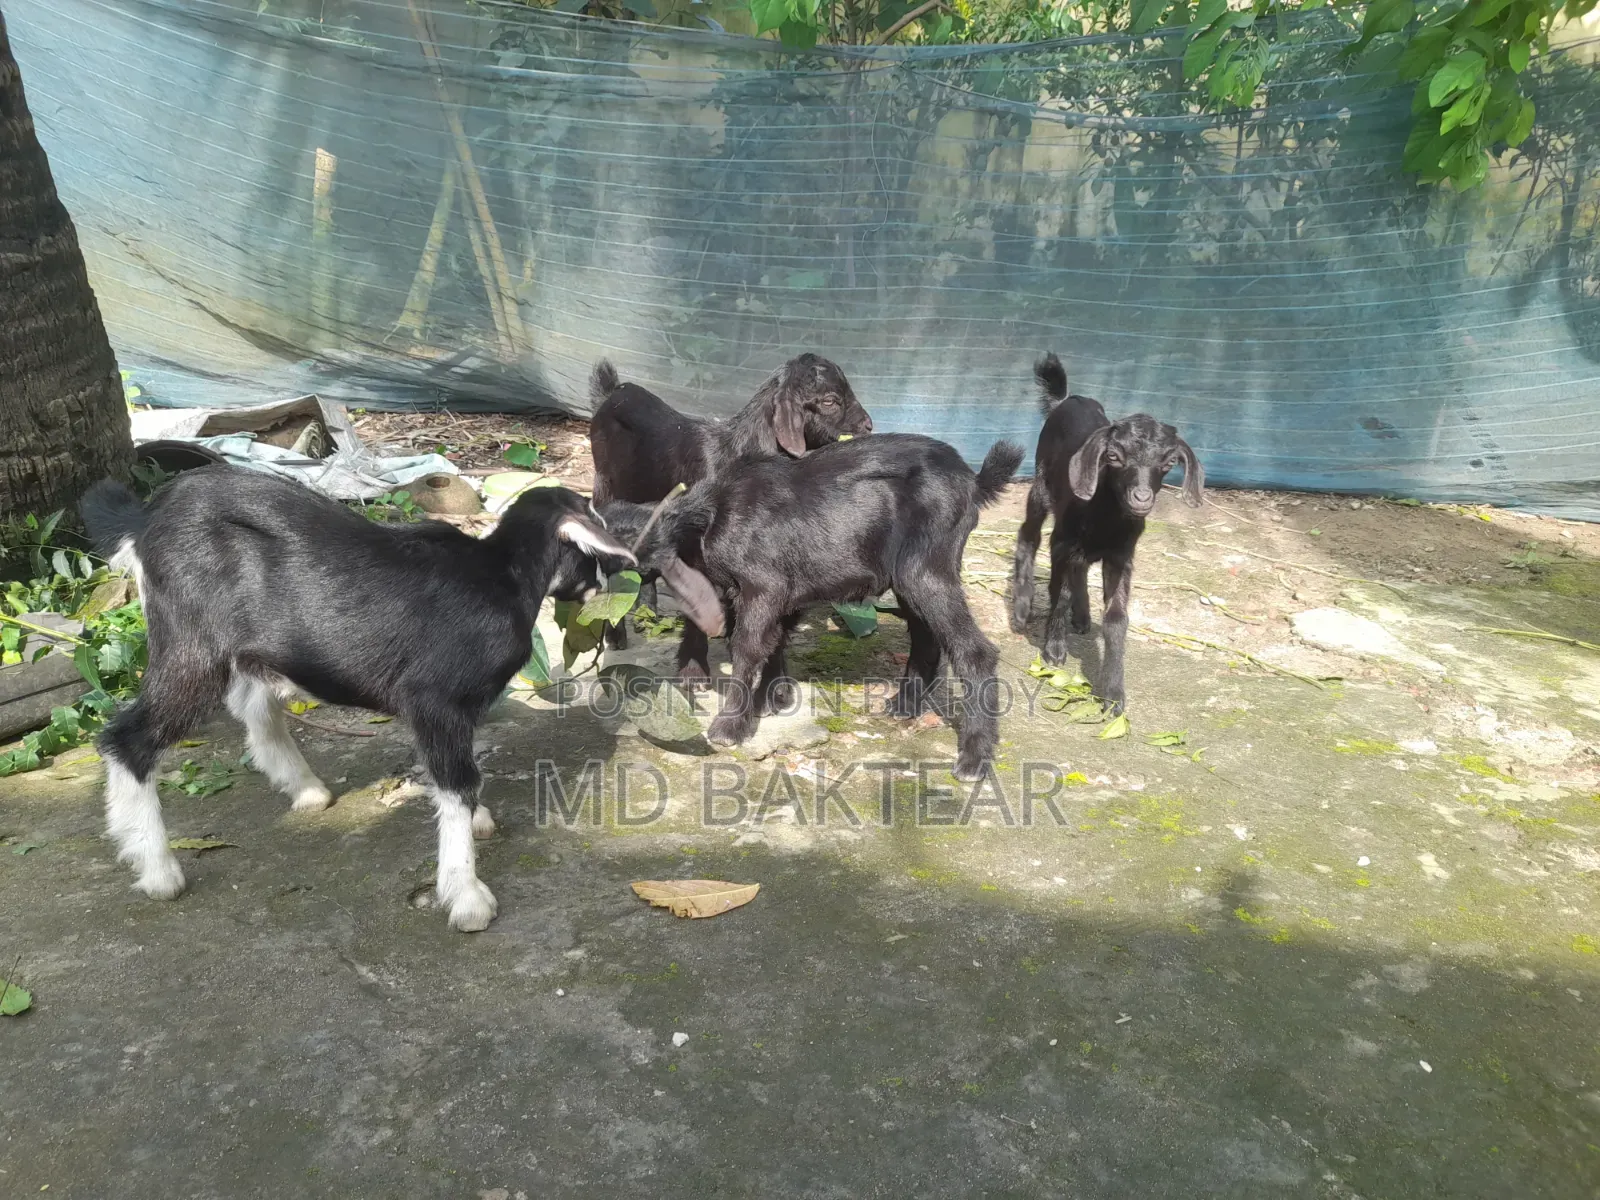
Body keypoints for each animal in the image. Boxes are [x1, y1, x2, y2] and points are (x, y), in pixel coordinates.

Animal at [80, 466, 636, 932]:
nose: (606, 584)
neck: (503, 574)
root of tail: (146, 520)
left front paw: (477, 824)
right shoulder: (434, 700)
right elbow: (457, 782)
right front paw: (467, 897)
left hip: (245, 645)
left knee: (253, 703)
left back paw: (305, 788)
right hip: (190, 646)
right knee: (126, 738)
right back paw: (157, 869)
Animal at [587, 355, 872, 673]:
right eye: (830, 401)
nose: (869, 426)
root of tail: (611, 392)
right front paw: (694, 670)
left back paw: (646, 614)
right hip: (604, 486)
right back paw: (616, 636)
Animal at [608, 433, 1024, 780]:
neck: (711, 515)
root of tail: (973, 481)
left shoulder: (764, 586)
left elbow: (747, 646)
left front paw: (731, 725)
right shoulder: (784, 593)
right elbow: (774, 640)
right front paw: (773, 697)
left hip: (925, 570)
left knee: (974, 651)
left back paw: (973, 757)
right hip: (908, 577)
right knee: (926, 636)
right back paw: (906, 704)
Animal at [1009, 353, 1204, 714]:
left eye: (1168, 462)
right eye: (1114, 457)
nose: (1141, 498)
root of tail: (1066, 399)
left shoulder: (1121, 557)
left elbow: (1116, 617)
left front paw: (1114, 693)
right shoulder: (1062, 543)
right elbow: (1059, 592)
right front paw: (1054, 650)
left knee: (1081, 567)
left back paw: (1083, 616)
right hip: (1041, 487)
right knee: (1028, 535)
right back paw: (1022, 608)